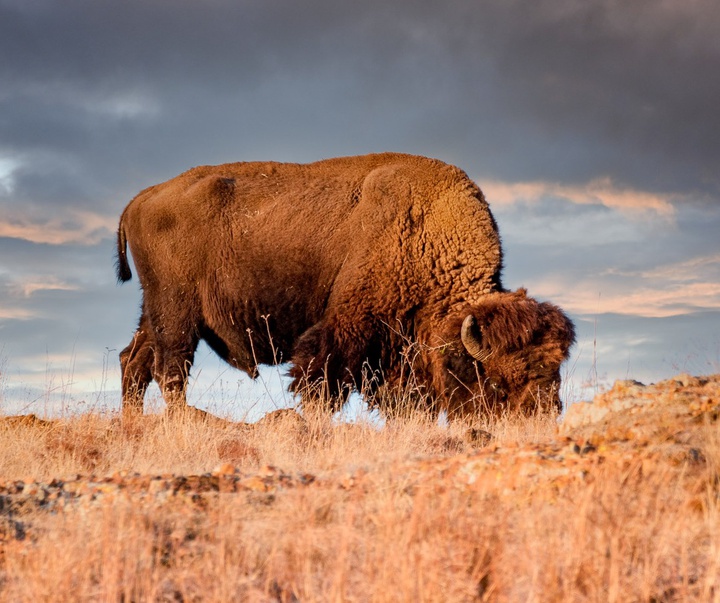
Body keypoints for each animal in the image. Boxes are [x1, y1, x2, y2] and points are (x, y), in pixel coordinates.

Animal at [115, 152, 572, 420]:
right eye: (496, 383)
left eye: (555, 376)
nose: (540, 419)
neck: (426, 232)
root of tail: (141, 197)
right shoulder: (348, 329)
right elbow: (323, 386)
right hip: (177, 312)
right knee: (169, 370)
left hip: (154, 311)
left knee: (134, 361)